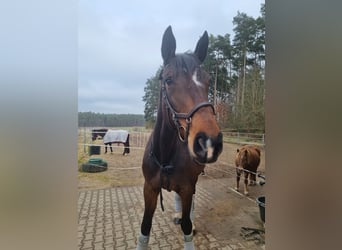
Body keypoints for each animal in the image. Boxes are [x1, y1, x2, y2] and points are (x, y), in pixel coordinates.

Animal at [138, 25, 223, 250]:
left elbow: (186, 226)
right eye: (168, 80)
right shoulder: (150, 188)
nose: (209, 141)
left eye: (208, 81)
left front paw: (189, 224)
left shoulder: (187, 187)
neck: (165, 153)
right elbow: (145, 227)